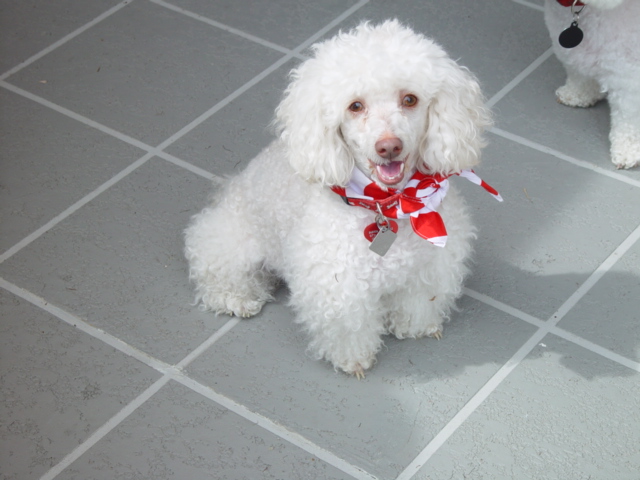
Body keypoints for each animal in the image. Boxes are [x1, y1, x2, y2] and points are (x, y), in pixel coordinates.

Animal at [182, 19, 498, 378]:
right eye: (355, 106)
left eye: (410, 99)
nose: (389, 146)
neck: (388, 204)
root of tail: (229, 187)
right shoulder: (338, 284)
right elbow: (349, 326)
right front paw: (354, 359)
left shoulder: (431, 266)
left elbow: (418, 300)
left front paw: (414, 327)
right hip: (230, 241)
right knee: (215, 268)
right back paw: (236, 298)